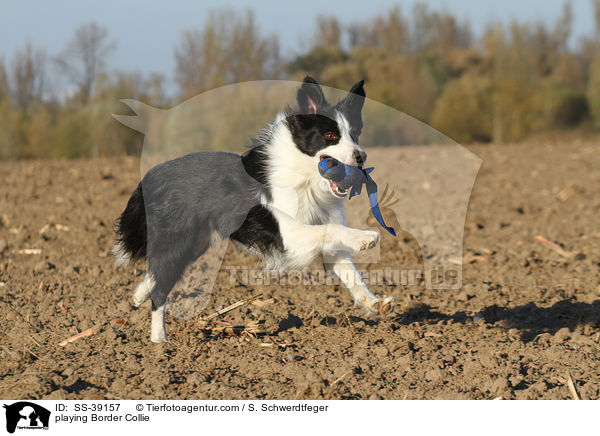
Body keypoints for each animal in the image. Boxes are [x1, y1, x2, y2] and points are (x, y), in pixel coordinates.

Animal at [113, 76, 394, 342]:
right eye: (330, 136)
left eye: (355, 134)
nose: (361, 156)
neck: (306, 177)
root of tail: (152, 175)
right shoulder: (289, 233)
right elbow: (332, 229)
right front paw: (366, 237)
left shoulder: (322, 237)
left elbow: (351, 272)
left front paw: (376, 304)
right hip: (177, 239)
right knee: (161, 288)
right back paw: (159, 341)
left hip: (197, 242)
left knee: (158, 273)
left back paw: (138, 296)